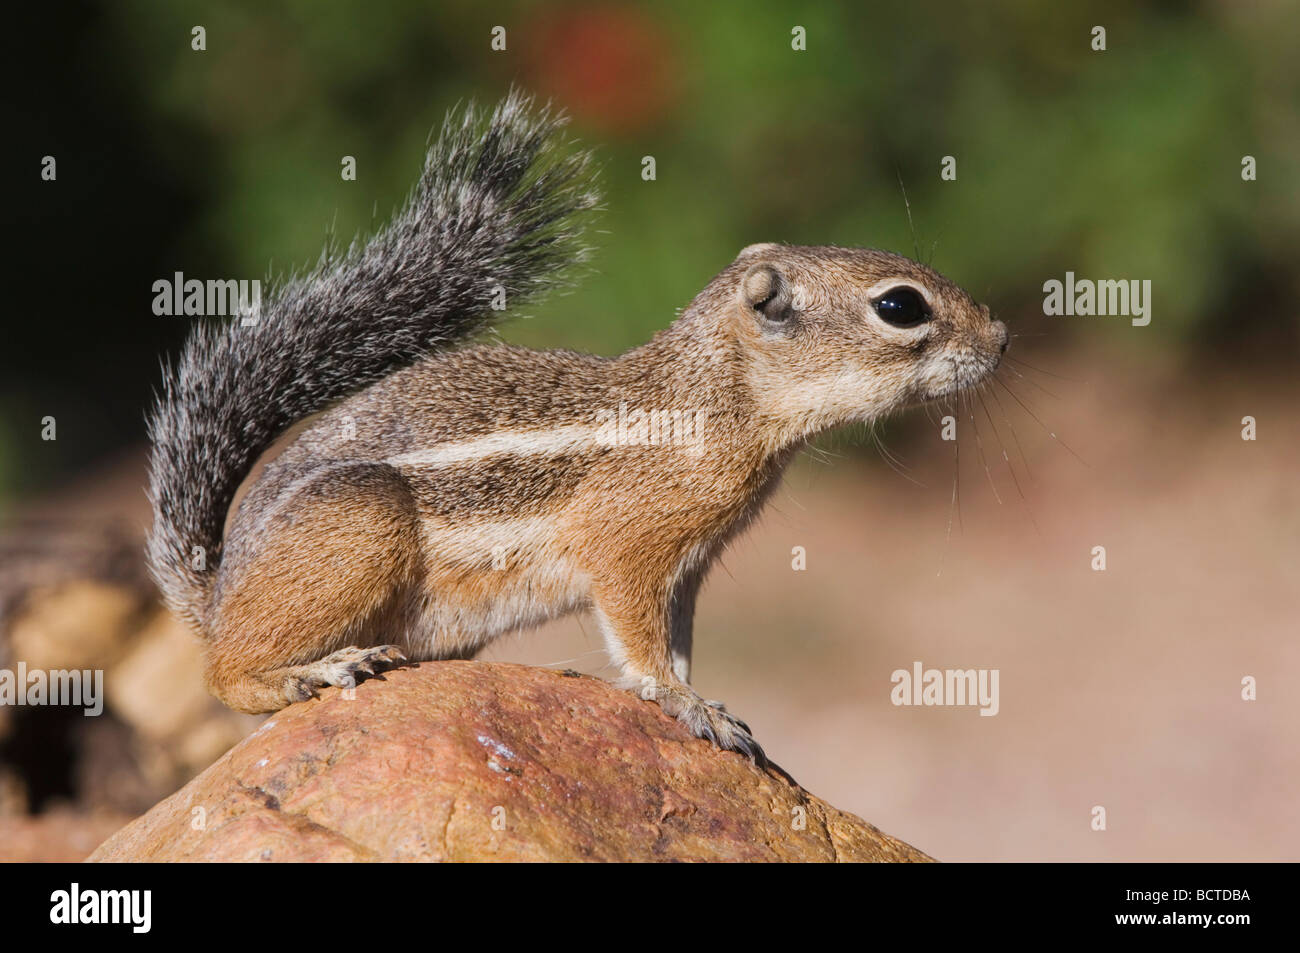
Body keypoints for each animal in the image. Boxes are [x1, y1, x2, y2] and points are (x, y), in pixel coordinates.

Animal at [147, 92, 1008, 764]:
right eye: (900, 305)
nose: (1001, 338)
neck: (711, 397)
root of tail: (218, 586)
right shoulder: (629, 544)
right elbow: (638, 635)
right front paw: (686, 702)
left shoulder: (688, 565)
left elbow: (676, 638)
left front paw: (694, 692)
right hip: (361, 522)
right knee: (223, 672)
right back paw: (314, 671)